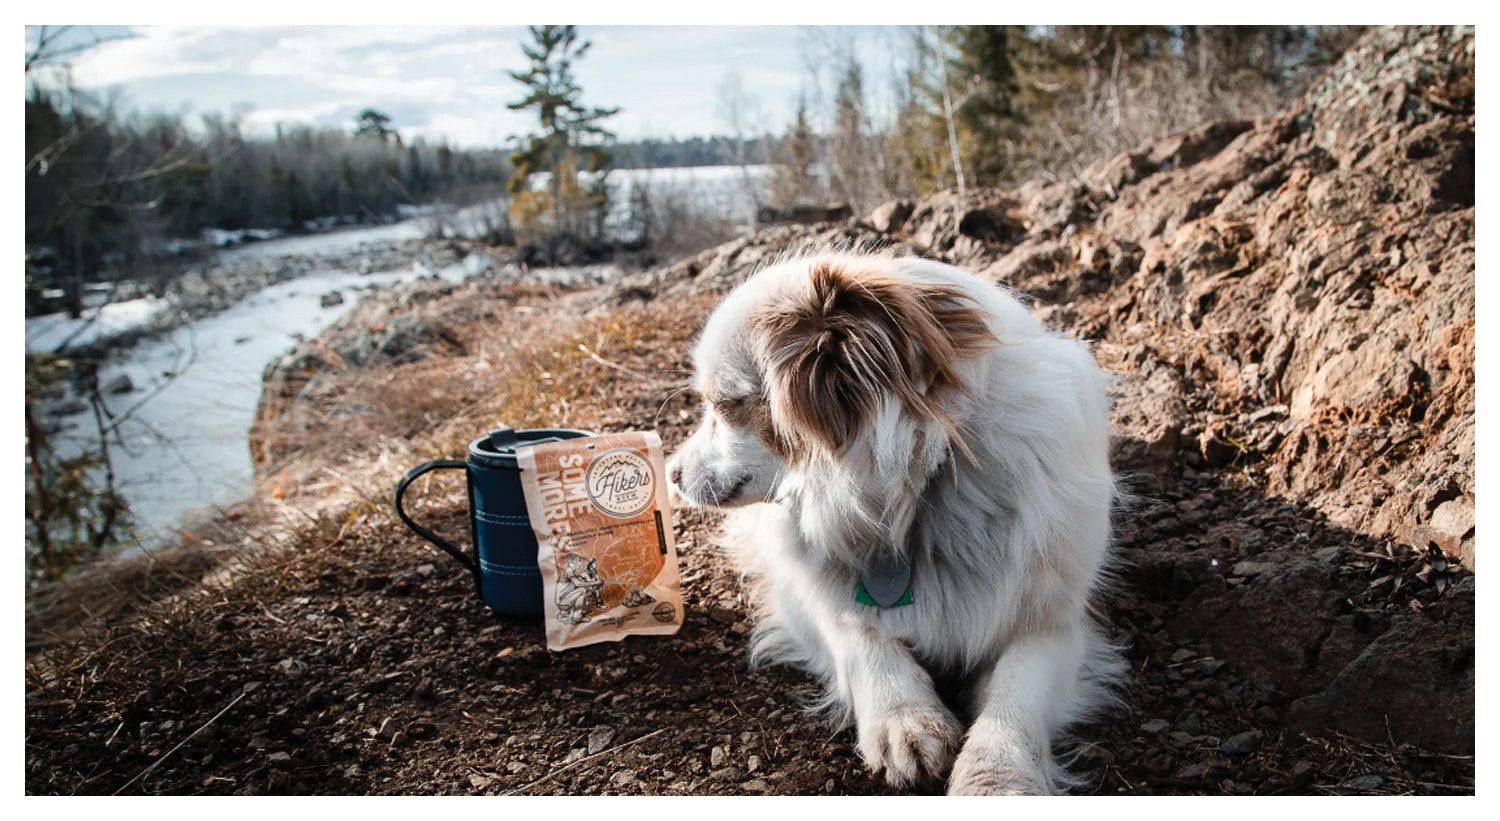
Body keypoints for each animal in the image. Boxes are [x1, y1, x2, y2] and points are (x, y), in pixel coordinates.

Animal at [672, 249, 1128, 798]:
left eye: (724, 404)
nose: (671, 474)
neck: (913, 495)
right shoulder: (806, 594)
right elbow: (858, 632)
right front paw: (903, 718)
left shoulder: (1055, 616)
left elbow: (1017, 694)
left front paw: (996, 777)